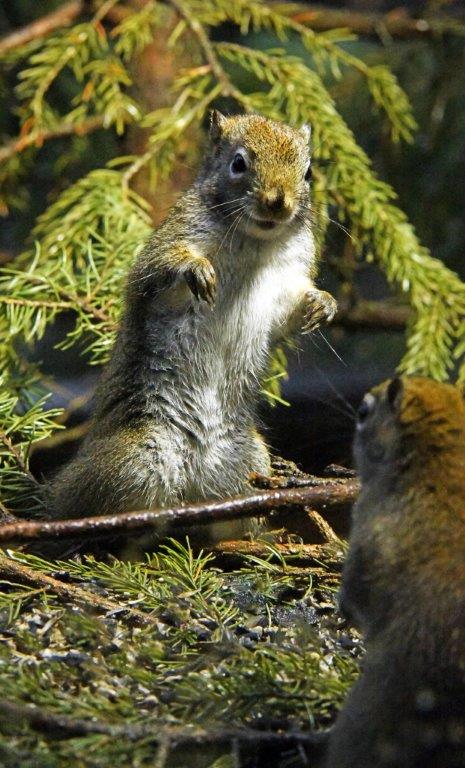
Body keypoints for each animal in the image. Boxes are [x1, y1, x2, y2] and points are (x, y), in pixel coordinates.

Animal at [47, 112, 337, 520]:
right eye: (238, 163)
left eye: (308, 171)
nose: (278, 203)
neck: (254, 241)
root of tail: (193, 471)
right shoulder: (169, 245)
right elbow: (159, 268)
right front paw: (194, 266)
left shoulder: (287, 279)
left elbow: (288, 312)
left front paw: (323, 303)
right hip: (132, 460)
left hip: (248, 464)